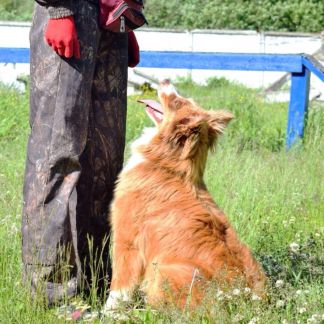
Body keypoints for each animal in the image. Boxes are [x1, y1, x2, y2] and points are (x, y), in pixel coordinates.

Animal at [104, 81, 266, 312]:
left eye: (177, 102)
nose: (165, 80)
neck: (168, 165)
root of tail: (244, 299)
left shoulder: (127, 240)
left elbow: (118, 289)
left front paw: (106, 313)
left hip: (163, 270)